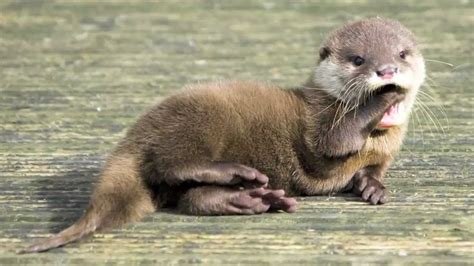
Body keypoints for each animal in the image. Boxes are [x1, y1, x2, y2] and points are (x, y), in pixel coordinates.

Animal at [19, 17, 426, 254]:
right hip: (198, 121)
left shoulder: (382, 155)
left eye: (402, 54)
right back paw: (237, 175)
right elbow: (339, 138)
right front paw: (385, 96)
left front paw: (373, 186)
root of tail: (136, 134)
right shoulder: (320, 122)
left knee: (190, 197)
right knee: (174, 164)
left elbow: (372, 171)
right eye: (358, 60)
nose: (386, 70)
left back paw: (252, 199)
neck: (378, 142)